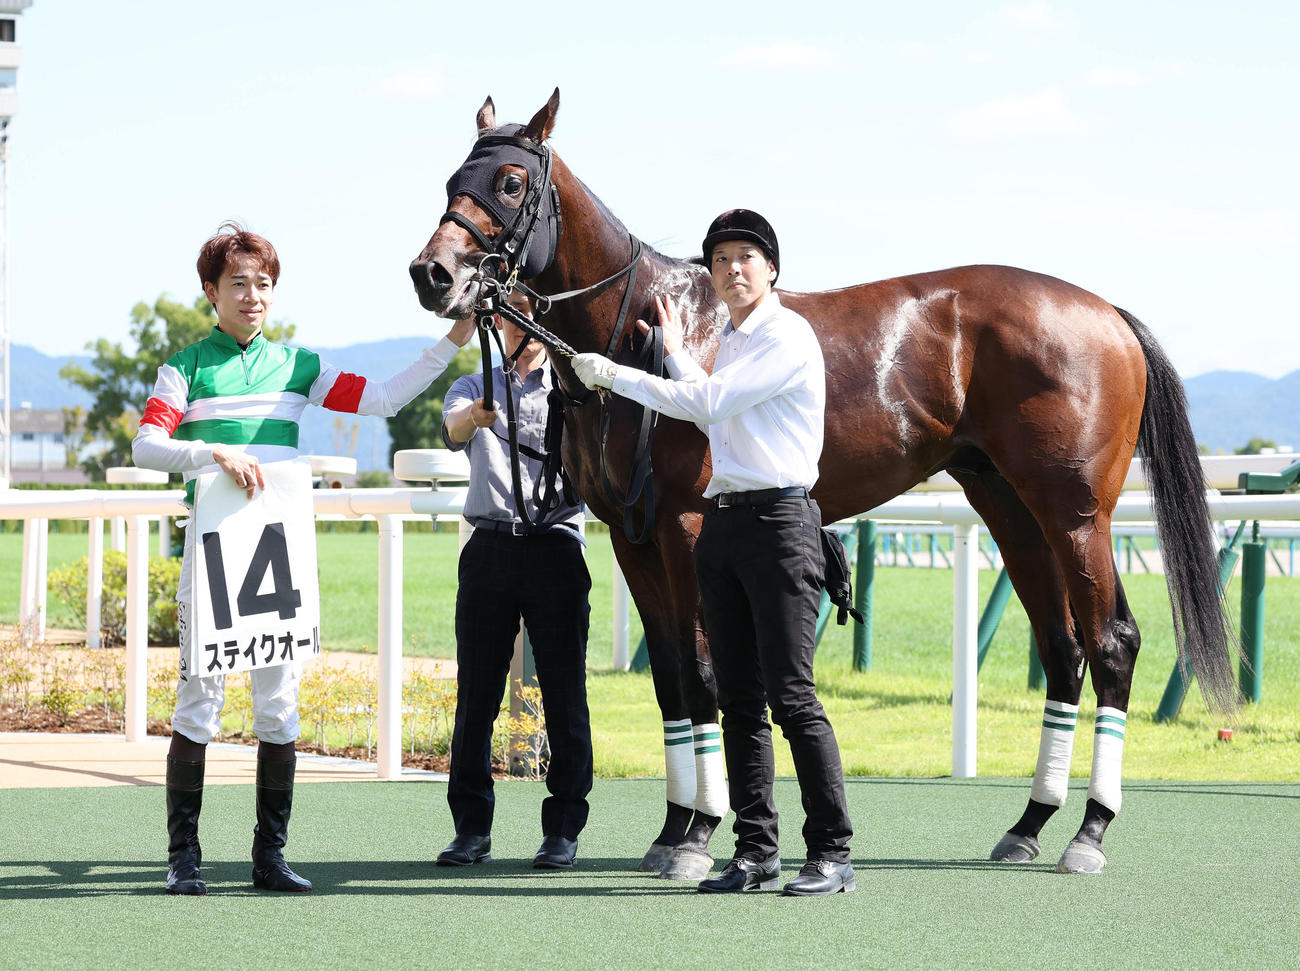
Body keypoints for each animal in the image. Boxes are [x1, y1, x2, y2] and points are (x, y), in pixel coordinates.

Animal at [409, 90, 1238, 877]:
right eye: (452, 180)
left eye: (511, 181)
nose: (432, 273)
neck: (640, 331)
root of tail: (1106, 312)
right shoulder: (633, 539)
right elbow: (673, 678)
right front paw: (672, 829)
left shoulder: (684, 527)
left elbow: (706, 674)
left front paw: (700, 834)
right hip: (1009, 506)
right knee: (1063, 650)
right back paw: (1029, 824)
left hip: (1074, 512)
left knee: (1112, 643)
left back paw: (1089, 832)